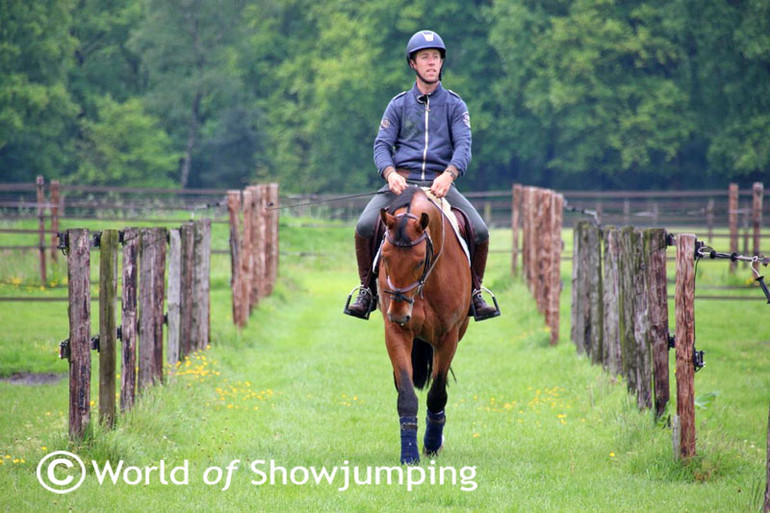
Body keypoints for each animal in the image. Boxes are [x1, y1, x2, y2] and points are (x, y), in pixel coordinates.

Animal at [376, 185, 472, 464]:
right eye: (385, 257)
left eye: (419, 261)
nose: (398, 313)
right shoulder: (396, 333)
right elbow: (406, 395)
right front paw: (409, 454)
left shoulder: (448, 336)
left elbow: (438, 393)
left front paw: (431, 444)